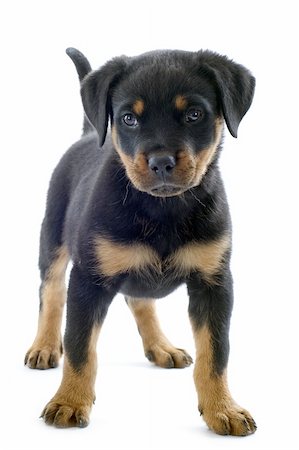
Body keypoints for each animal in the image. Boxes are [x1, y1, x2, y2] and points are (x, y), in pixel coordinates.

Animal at [25, 46, 258, 436]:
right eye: (129, 119)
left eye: (194, 114)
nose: (161, 162)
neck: (163, 210)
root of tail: (88, 134)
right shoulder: (88, 280)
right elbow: (80, 346)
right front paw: (70, 402)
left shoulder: (214, 283)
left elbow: (215, 353)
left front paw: (222, 409)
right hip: (53, 237)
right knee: (51, 292)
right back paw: (43, 346)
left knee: (139, 299)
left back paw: (161, 346)